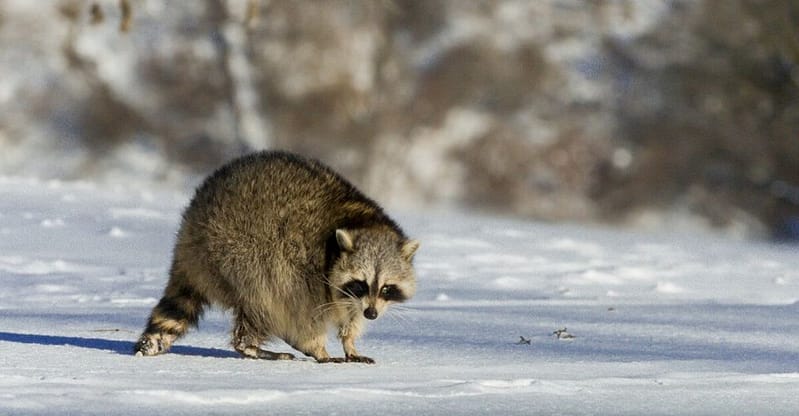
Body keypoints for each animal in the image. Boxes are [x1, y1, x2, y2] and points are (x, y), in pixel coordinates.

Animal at [133, 151, 418, 362]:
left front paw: (350, 342)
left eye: (387, 288)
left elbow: (351, 317)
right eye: (360, 283)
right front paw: (319, 348)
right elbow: (305, 314)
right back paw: (258, 346)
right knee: (265, 302)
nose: (372, 314)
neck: (361, 222)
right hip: (238, 256)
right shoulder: (308, 274)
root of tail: (189, 233)